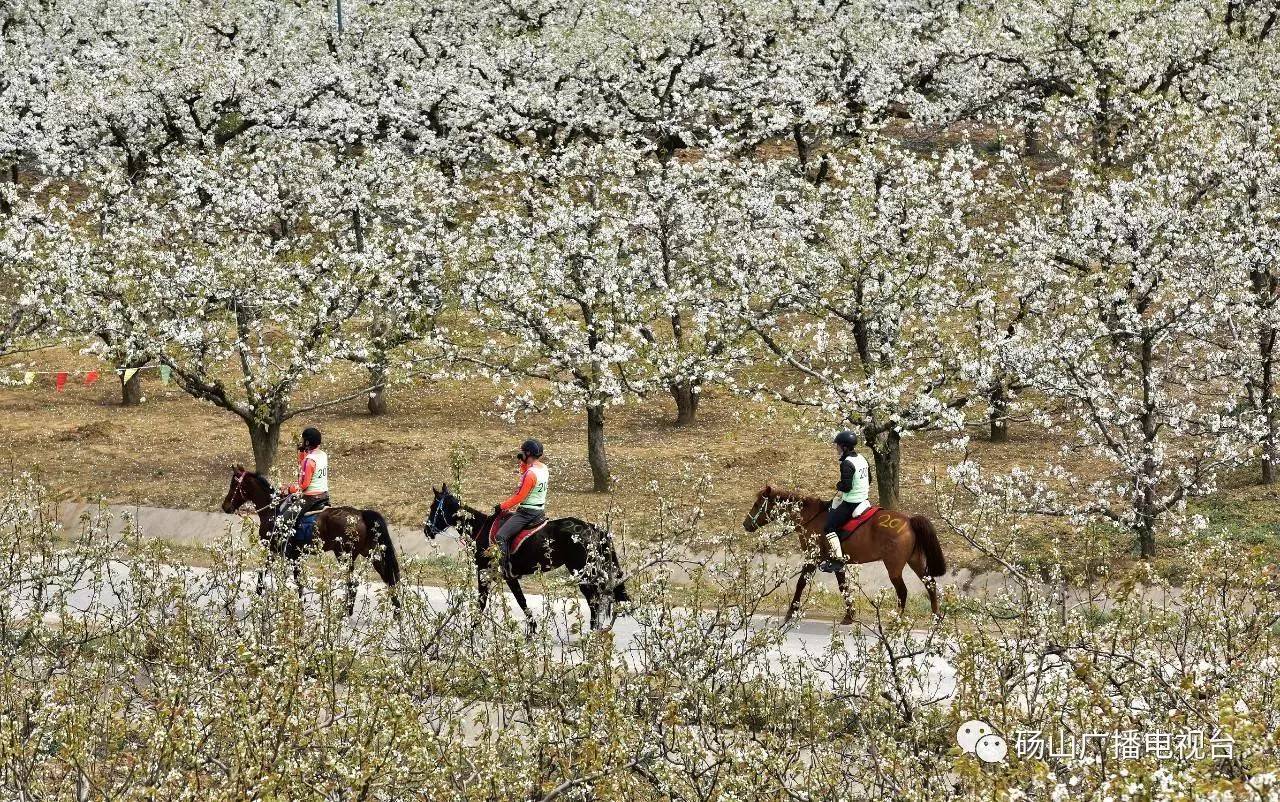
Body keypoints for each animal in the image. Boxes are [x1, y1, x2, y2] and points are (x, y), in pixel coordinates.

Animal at [221, 465, 399, 613]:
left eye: (233, 485)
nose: (225, 506)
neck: (273, 511)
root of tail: (361, 514)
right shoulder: (294, 556)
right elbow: (297, 581)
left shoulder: (271, 550)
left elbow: (262, 575)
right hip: (372, 554)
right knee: (389, 579)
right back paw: (397, 613)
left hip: (344, 555)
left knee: (353, 583)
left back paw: (345, 614)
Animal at [422, 486, 627, 636]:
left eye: (433, 508)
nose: (426, 530)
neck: (481, 527)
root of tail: (591, 528)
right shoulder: (506, 577)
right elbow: (520, 601)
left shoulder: (488, 573)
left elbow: (490, 601)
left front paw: (472, 630)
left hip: (582, 573)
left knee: (594, 601)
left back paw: (592, 634)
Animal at [747, 486, 947, 624]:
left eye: (757, 504)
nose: (745, 524)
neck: (811, 517)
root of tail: (909, 521)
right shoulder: (837, 564)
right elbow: (843, 587)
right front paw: (849, 616)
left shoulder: (812, 558)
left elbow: (801, 583)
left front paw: (791, 612)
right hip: (916, 561)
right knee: (930, 584)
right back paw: (936, 616)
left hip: (894, 567)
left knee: (902, 591)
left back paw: (897, 619)